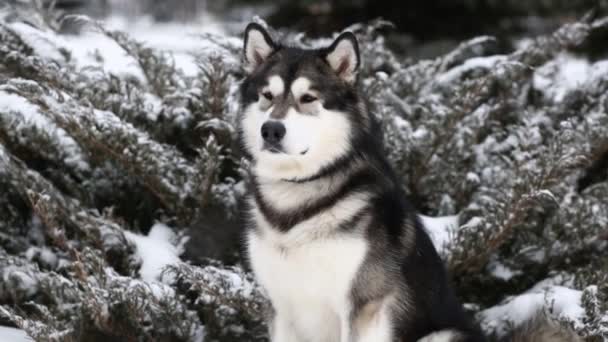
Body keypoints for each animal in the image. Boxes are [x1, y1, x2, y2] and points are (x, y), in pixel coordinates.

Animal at [238, 22, 580, 342]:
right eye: (267, 96)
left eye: (308, 98)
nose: (271, 130)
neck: (297, 196)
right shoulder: (281, 308)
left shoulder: (364, 305)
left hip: (442, 334)